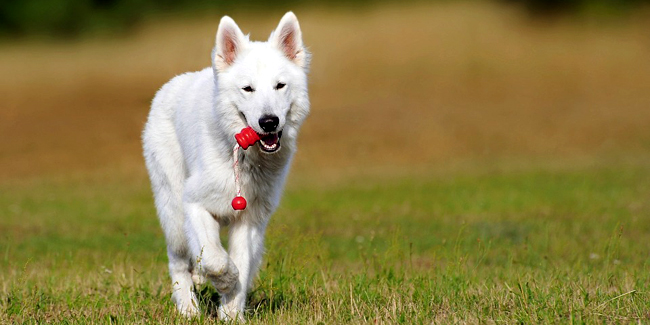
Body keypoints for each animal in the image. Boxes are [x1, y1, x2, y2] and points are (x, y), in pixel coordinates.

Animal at [142, 12, 308, 318]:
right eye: (248, 89)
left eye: (280, 86)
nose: (269, 122)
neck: (243, 159)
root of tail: (171, 84)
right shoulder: (194, 204)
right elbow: (216, 259)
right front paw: (225, 280)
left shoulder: (250, 220)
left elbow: (241, 263)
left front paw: (231, 313)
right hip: (173, 212)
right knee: (178, 261)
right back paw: (188, 309)